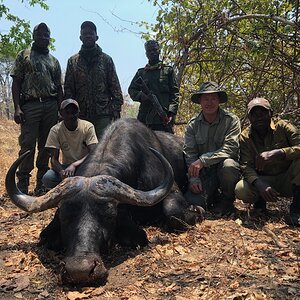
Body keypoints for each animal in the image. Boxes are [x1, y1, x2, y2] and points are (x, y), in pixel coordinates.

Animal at [6, 118, 204, 286]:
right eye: (64, 217)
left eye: (109, 216)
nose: (80, 270)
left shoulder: (171, 192)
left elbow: (172, 212)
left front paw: (198, 211)